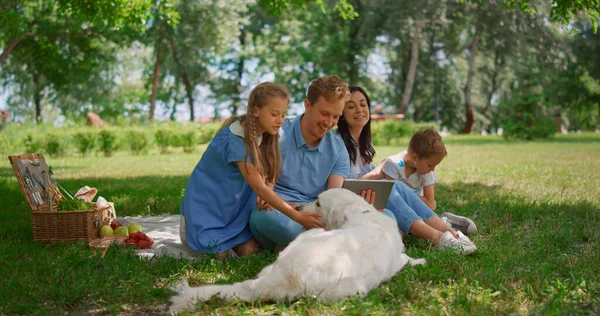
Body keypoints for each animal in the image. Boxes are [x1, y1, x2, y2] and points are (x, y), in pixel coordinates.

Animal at [169, 189, 426, 312]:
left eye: (319, 202)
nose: (299, 208)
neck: (362, 213)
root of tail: (285, 275)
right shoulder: (397, 259)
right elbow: (408, 258)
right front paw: (421, 261)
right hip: (350, 285)